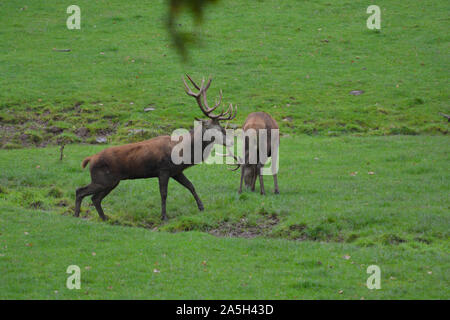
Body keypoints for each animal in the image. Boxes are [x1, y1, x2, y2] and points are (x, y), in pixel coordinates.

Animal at [74, 74, 236, 220]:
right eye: (217, 129)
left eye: (223, 128)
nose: (231, 142)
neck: (183, 153)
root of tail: (90, 159)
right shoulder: (163, 169)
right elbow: (164, 193)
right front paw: (164, 216)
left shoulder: (176, 171)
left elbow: (191, 186)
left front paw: (201, 207)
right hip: (104, 179)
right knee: (81, 190)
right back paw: (79, 215)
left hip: (111, 181)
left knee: (94, 198)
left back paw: (102, 218)